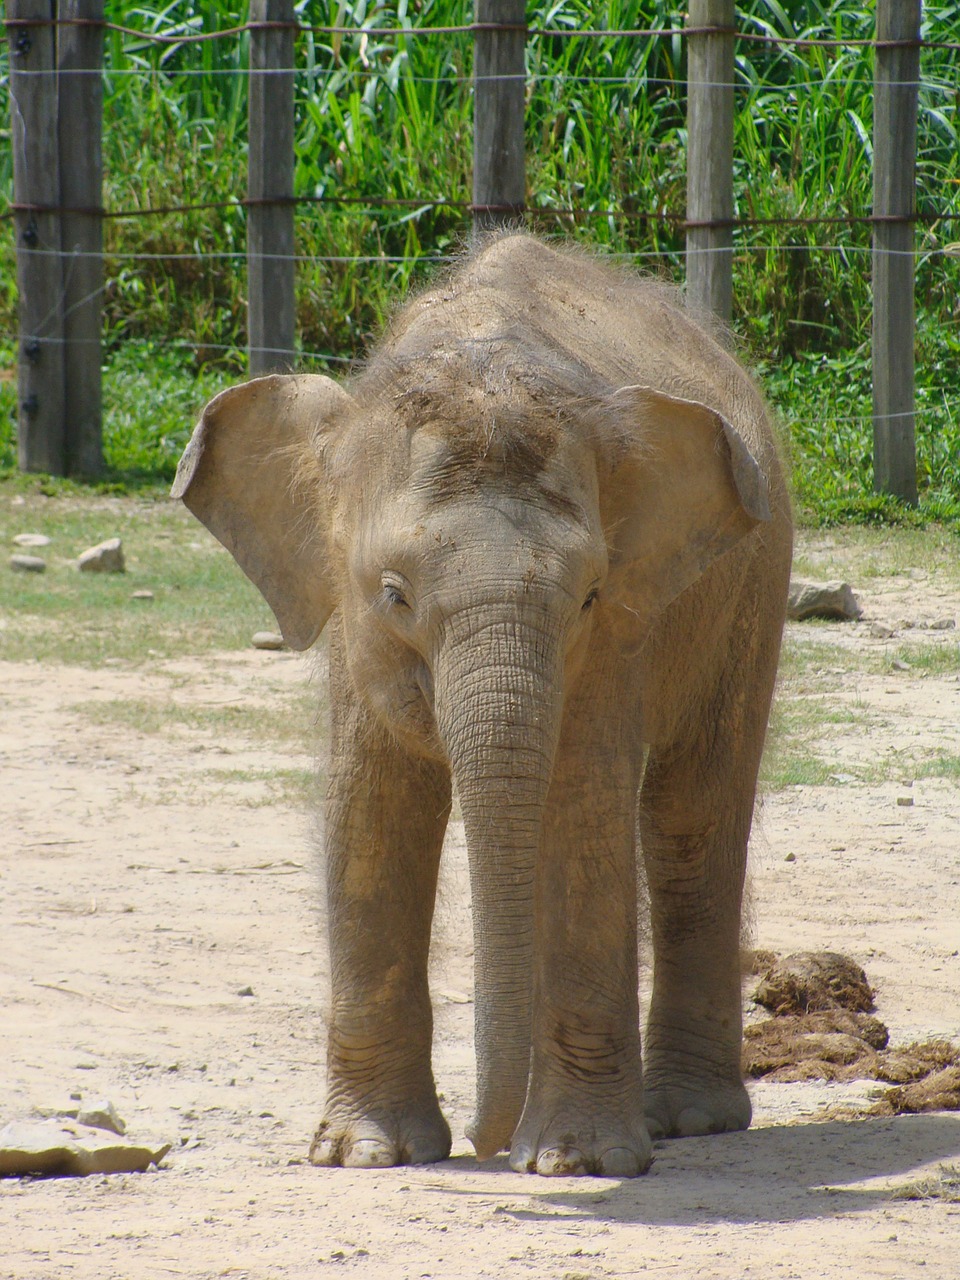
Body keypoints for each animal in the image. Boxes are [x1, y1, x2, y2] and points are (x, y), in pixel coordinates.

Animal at [172, 232, 788, 1177]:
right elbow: (370, 808)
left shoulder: (620, 632)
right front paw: (366, 1154)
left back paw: (687, 1120)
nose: (480, 1142)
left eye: (588, 596)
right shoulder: (353, 631)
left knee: (692, 815)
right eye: (393, 593)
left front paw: (576, 1163)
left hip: (759, 569)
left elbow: (581, 805)